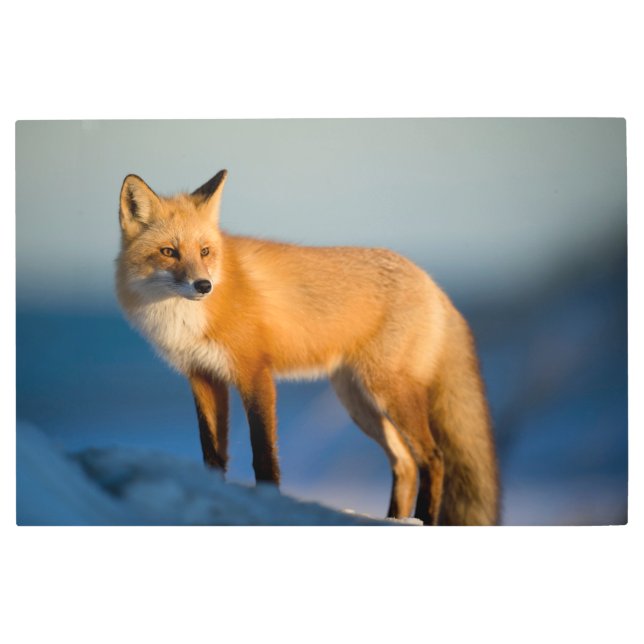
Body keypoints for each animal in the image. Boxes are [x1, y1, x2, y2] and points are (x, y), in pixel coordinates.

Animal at [115, 169, 500, 525]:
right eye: (169, 252)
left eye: (205, 251)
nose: (203, 285)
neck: (185, 318)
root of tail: (432, 283)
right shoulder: (203, 377)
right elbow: (212, 454)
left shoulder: (255, 373)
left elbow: (264, 454)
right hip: (358, 401)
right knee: (404, 462)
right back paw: (394, 519)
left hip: (388, 391)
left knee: (433, 458)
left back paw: (423, 518)